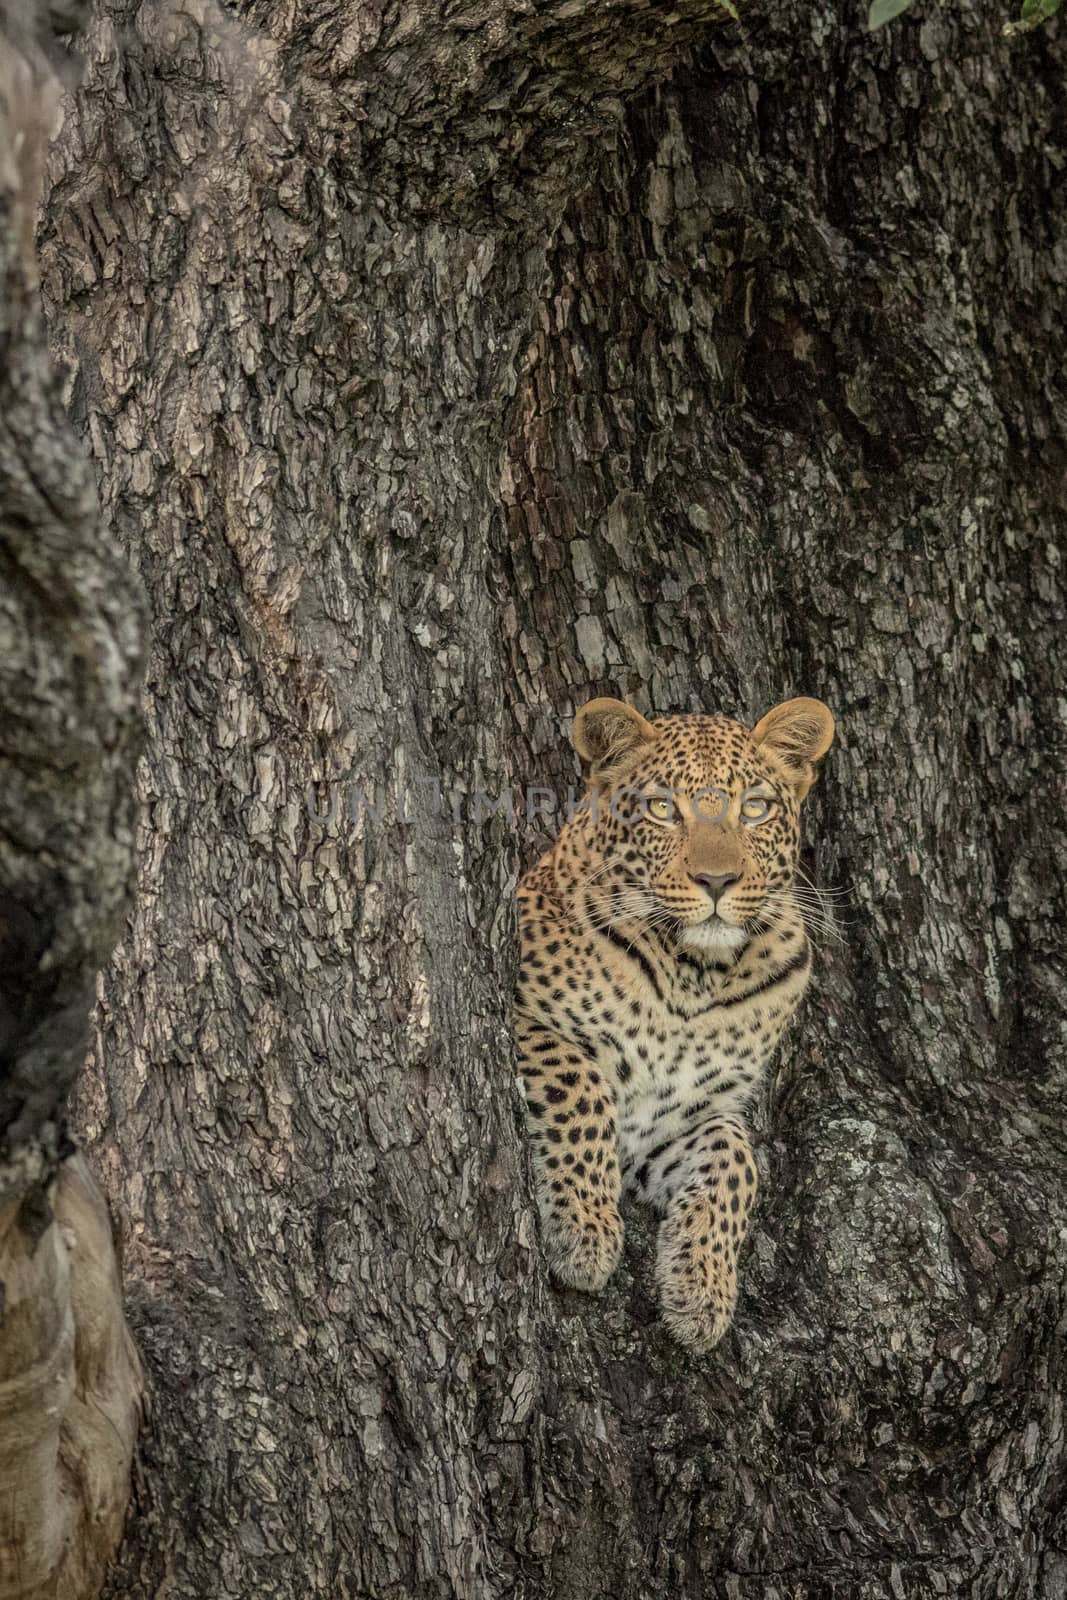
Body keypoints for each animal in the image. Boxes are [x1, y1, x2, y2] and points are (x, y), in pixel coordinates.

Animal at [515, 697, 831, 1350]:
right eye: (663, 809)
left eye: (754, 808)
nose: (717, 881)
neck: (694, 977)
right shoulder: (525, 1015)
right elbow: (583, 1085)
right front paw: (585, 1234)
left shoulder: (683, 1116)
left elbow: (737, 1160)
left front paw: (701, 1291)